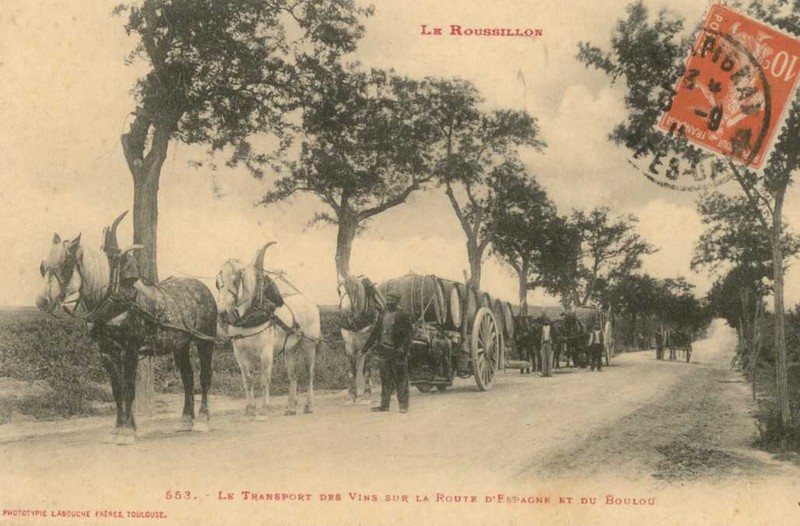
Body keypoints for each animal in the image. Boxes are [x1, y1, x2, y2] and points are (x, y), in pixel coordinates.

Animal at [34, 211, 217, 446]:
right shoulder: (106, 352)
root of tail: (202, 287)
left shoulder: (129, 349)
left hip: (205, 341)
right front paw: (117, 429)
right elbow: (117, 391)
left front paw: (128, 432)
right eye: (43, 265)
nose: (42, 301)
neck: (113, 298)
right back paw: (186, 420)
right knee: (188, 377)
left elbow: (129, 389)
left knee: (204, 377)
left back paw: (203, 419)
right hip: (180, 345)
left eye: (65, 263)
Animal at [219, 243, 322, 420]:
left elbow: (264, 380)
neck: (251, 314)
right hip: (290, 349)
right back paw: (291, 407)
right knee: (293, 375)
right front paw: (250, 409)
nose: (222, 313)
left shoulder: (265, 353)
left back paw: (308, 405)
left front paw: (264, 410)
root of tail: (309, 302)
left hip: (309, 344)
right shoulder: (240, 354)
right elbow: (247, 381)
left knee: (309, 374)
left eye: (235, 280)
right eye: (218, 282)